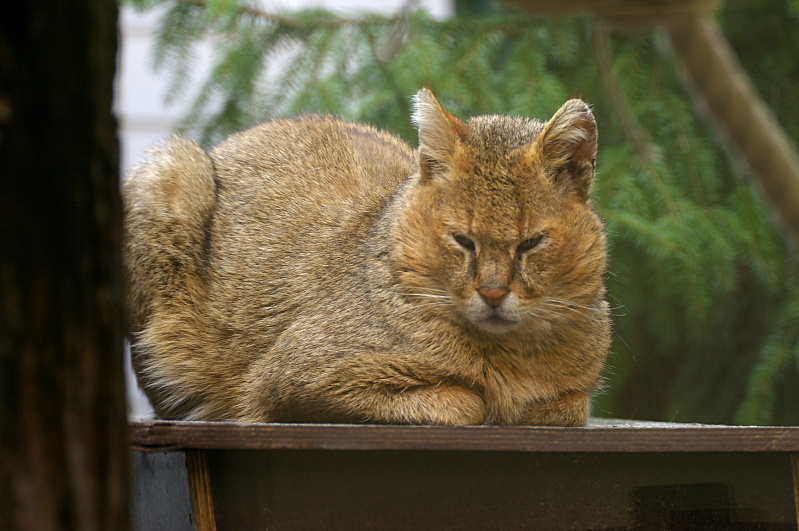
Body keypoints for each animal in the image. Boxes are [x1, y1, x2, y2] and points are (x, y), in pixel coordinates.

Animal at [126, 89, 612, 426]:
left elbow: (564, 407)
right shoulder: (285, 379)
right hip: (171, 170)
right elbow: (463, 401)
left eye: (530, 243)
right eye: (462, 240)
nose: (492, 293)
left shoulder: (574, 394)